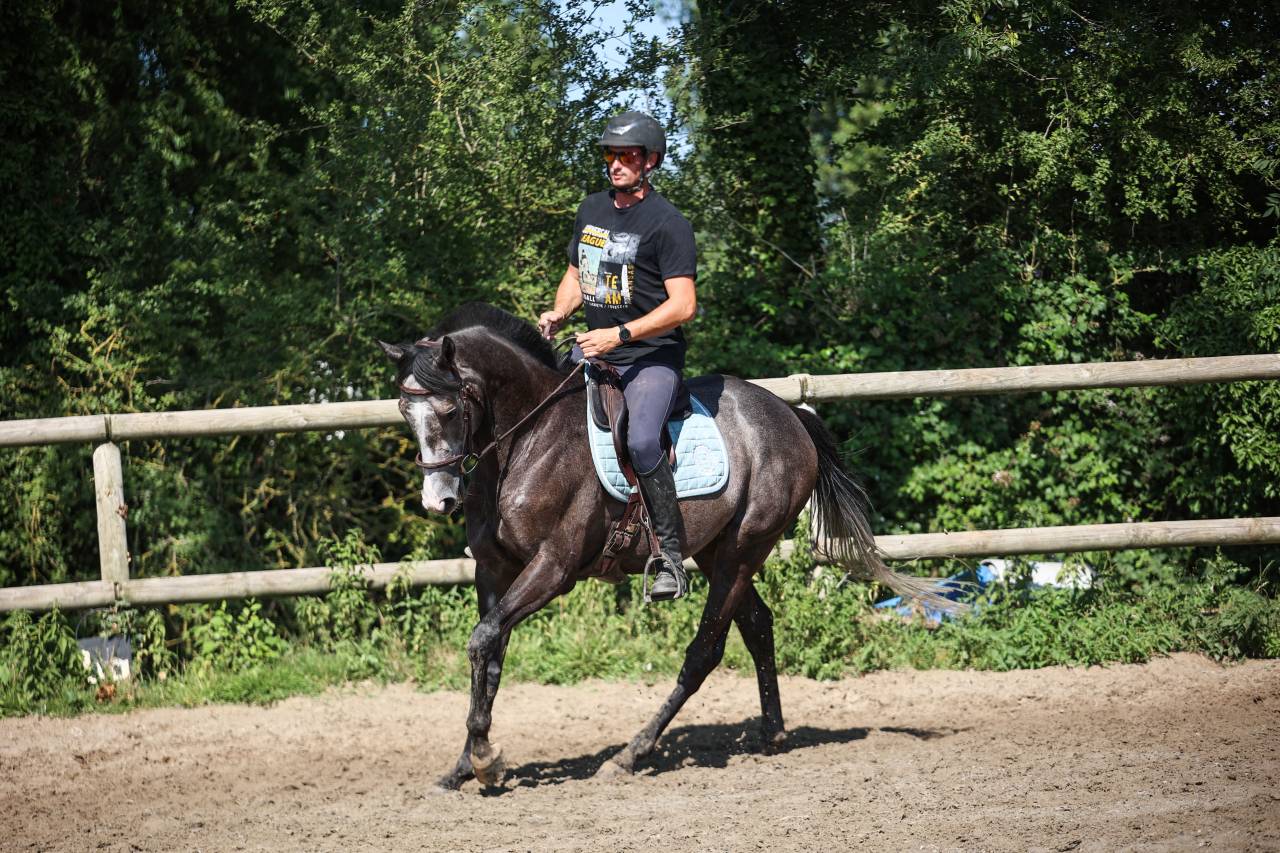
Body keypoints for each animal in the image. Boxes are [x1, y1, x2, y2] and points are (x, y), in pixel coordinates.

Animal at [380, 302, 952, 790]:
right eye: (405, 411)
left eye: (450, 409)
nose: (438, 500)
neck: (528, 439)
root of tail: (791, 417)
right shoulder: (494, 570)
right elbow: (490, 653)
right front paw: (464, 766)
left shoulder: (552, 569)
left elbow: (482, 641)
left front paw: (484, 760)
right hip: (716, 550)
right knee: (757, 625)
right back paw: (771, 733)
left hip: (743, 549)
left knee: (705, 651)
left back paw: (632, 753)